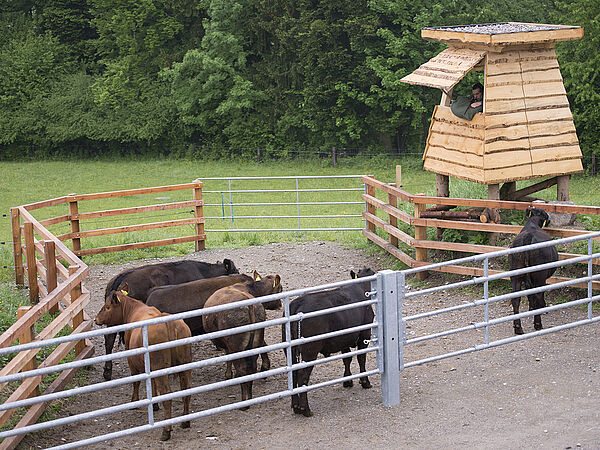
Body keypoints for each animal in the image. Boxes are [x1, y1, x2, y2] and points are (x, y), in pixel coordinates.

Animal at [95, 286, 192, 442]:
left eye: (108, 307)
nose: (96, 319)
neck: (133, 310)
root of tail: (169, 323)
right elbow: (151, 383)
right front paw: (154, 404)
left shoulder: (131, 359)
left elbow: (136, 381)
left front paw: (134, 402)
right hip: (185, 364)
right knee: (186, 391)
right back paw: (185, 422)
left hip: (162, 368)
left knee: (167, 394)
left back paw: (166, 431)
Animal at [202, 270, 284, 408]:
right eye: (281, 289)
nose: (280, 304)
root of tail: (248, 305)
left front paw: (229, 375)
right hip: (253, 340)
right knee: (251, 366)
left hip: (237, 345)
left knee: (243, 367)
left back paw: (244, 401)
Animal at [284, 268, 376, 418]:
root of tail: (299, 302)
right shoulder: (364, 333)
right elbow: (361, 358)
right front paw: (365, 382)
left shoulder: (344, 338)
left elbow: (347, 358)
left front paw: (347, 381)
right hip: (310, 350)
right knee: (303, 377)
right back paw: (306, 409)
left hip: (291, 351)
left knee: (294, 374)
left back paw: (296, 407)